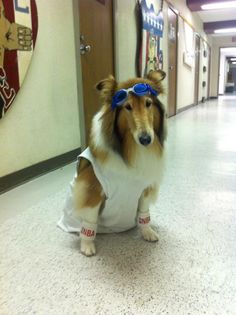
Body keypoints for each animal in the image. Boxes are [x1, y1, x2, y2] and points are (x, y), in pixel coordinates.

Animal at [57, 69, 167, 256]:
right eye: (127, 107)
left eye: (148, 103)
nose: (146, 139)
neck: (130, 151)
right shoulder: (93, 191)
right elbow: (89, 220)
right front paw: (87, 245)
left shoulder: (144, 189)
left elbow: (144, 213)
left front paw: (147, 232)